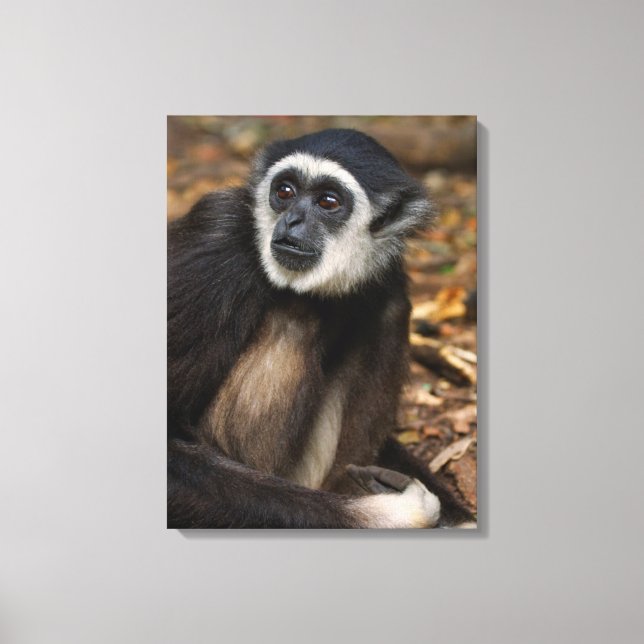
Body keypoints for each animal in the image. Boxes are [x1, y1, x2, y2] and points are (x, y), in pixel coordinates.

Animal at [167, 128, 475, 529]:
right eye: (285, 192)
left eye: (328, 202)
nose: (292, 221)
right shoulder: (215, 241)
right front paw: (393, 515)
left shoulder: (386, 269)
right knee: (294, 315)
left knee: (388, 309)